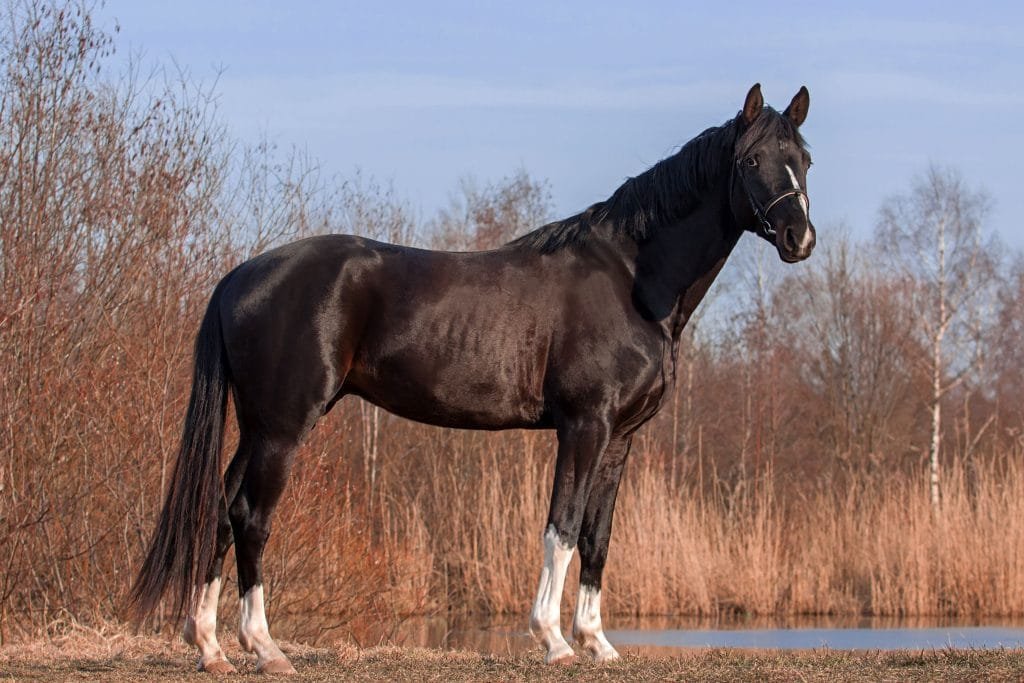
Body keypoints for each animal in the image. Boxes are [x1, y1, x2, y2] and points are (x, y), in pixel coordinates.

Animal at [128, 83, 815, 673]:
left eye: (804, 158)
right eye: (752, 159)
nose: (799, 238)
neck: (631, 278)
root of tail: (239, 275)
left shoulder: (620, 438)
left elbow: (597, 537)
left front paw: (598, 644)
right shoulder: (584, 426)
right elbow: (562, 528)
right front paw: (554, 641)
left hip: (255, 426)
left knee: (219, 511)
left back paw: (211, 648)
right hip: (283, 427)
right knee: (251, 517)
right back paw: (266, 649)